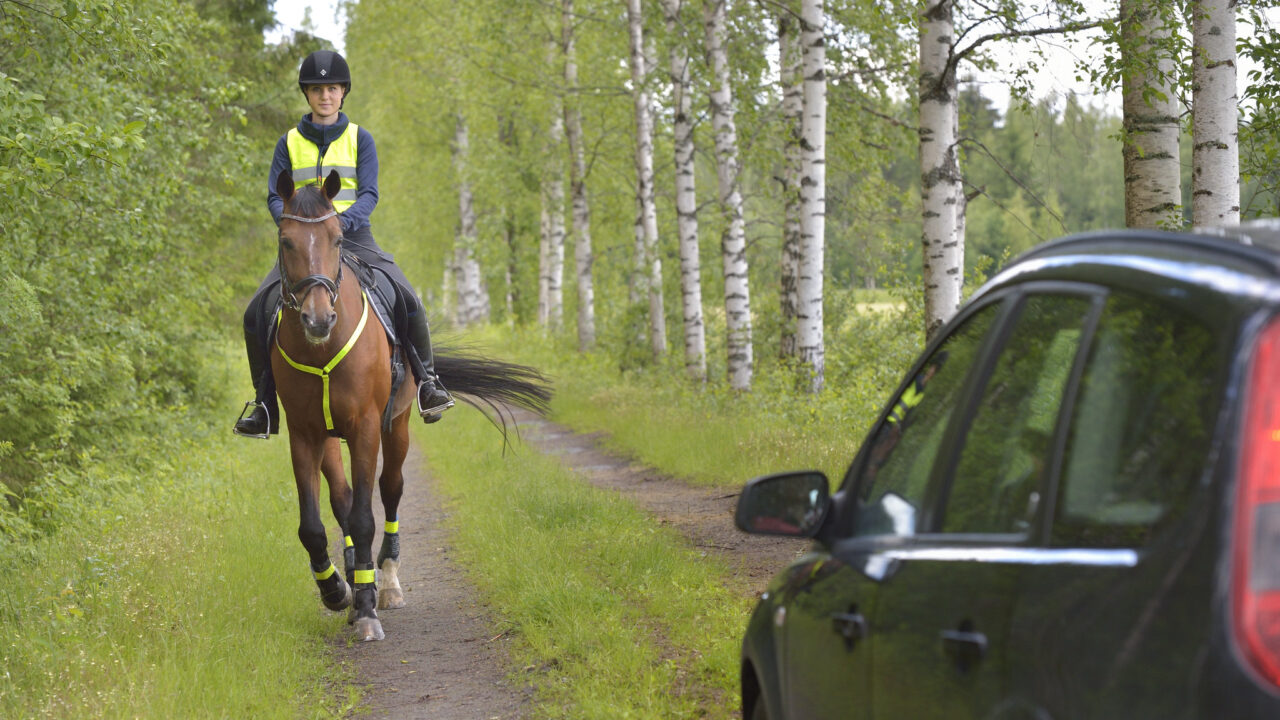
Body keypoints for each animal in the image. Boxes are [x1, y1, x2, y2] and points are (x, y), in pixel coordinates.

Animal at [272, 169, 547, 638]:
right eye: (286, 240)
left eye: (337, 239)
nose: (319, 319)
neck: (321, 349)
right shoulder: (303, 433)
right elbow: (313, 526)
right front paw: (336, 591)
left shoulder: (365, 426)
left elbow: (365, 516)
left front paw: (367, 608)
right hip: (329, 438)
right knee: (342, 499)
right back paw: (352, 578)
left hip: (396, 425)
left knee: (390, 488)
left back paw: (386, 581)